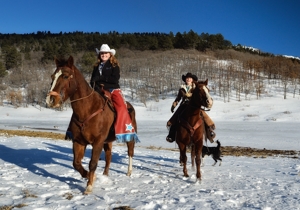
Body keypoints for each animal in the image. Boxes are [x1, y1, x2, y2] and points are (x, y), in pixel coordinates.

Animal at [45, 55, 137, 194]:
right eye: (52, 76)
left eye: (65, 76)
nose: (51, 100)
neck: (88, 109)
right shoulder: (78, 141)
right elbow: (76, 163)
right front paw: (90, 176)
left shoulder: (97, 142)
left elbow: (93, 163)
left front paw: (89, 186)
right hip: (107, 141)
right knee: (109, 156)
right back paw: (105, 175)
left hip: (129, 136)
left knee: (130, 152)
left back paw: (129, 171)